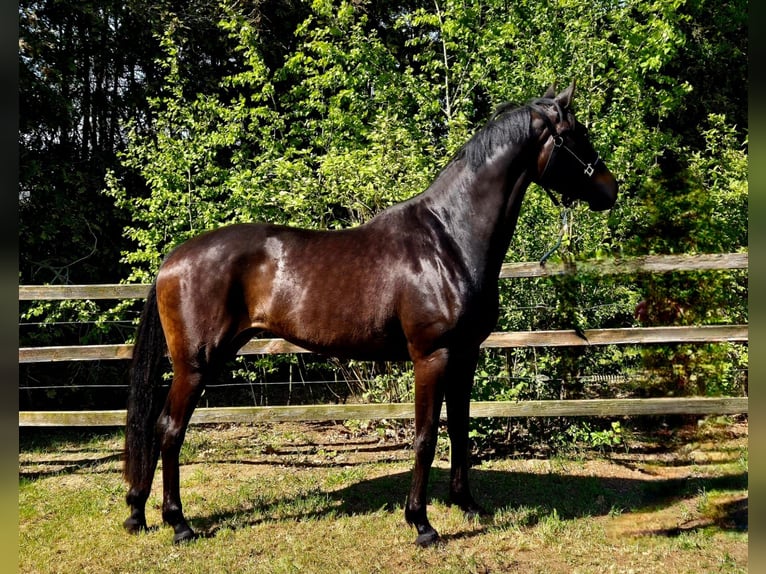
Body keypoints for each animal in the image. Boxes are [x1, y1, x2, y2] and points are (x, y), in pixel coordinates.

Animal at [123, 82, 620, 548]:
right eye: (578, 134)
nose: (610, 189)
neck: (449, 239)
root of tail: (171, 261)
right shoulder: (431, 356)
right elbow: (425, 436)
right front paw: (421, 524)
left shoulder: (465, 356)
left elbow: (460, 429)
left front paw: (467, 504)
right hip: (195, 364)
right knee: (169, 429)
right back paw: (178, 523)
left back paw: (138, 515)